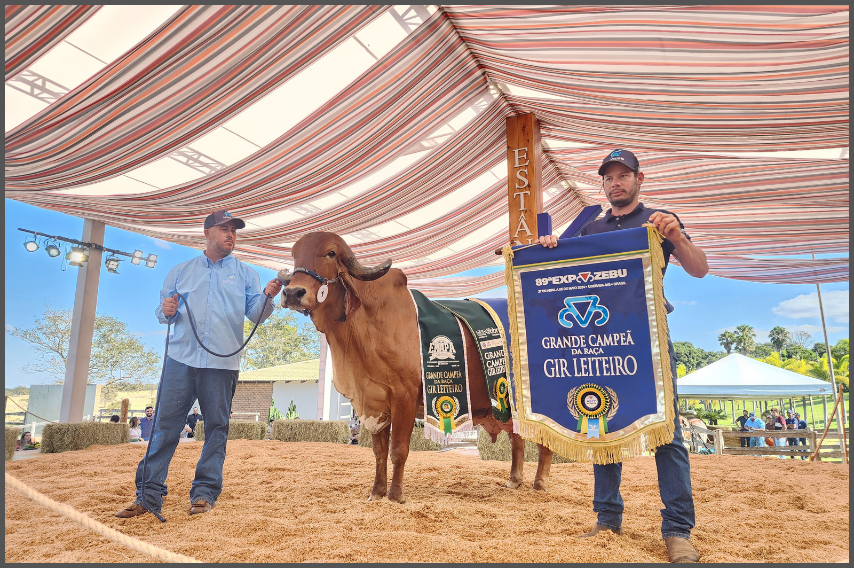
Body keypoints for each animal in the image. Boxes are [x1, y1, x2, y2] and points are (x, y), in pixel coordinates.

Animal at [279, 232, 554, 503]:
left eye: (331, 253)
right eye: (295, 256)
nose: (292, 293)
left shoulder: (404, 396)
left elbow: (398, 450)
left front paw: (395, 496)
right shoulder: (374, 402)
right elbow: (379, 452)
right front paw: (376, 493)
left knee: (544, 440)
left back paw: (540, 483)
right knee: (517, 438)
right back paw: (514, 480)